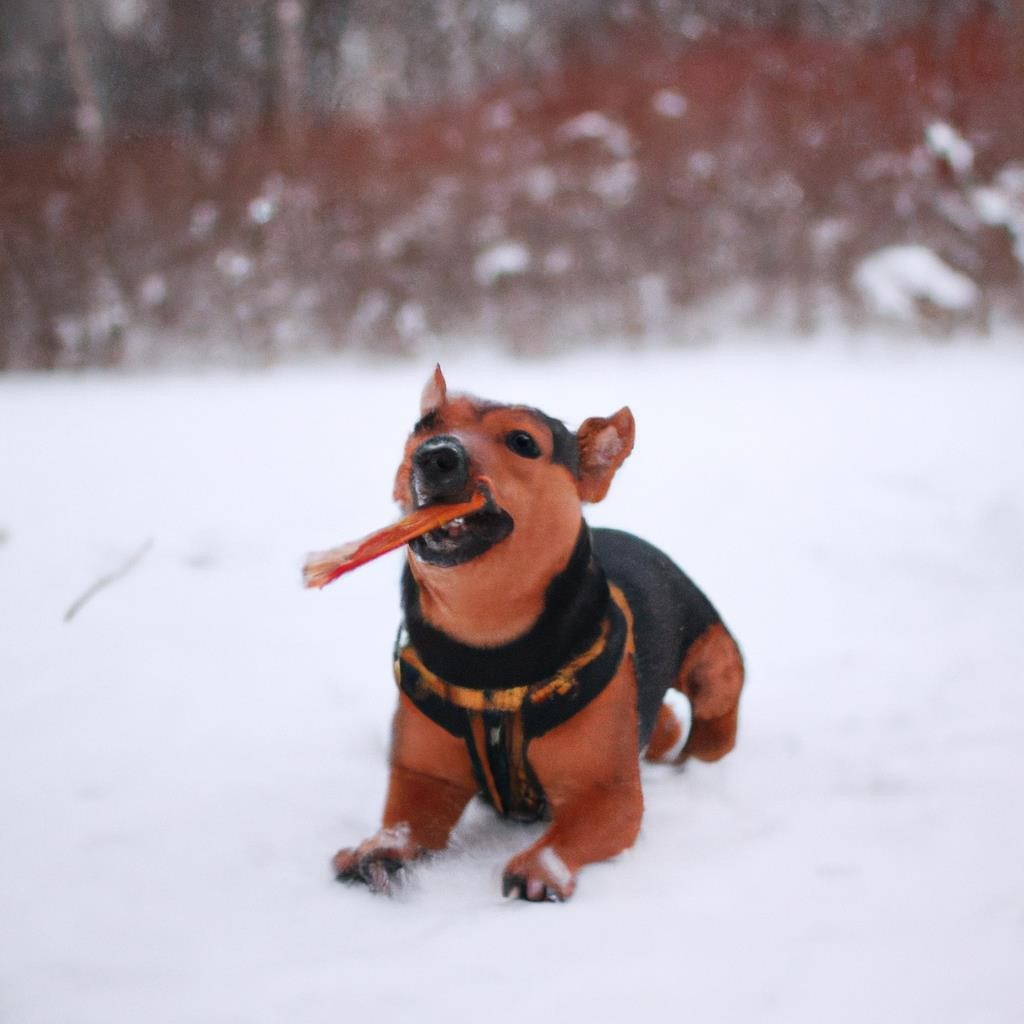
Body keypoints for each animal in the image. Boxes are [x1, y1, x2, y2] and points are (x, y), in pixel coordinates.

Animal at [335, 370, 745, 905]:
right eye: (424, 426)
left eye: (523, 442)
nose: (435, 454)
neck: (488, 647)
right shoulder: (425, 775)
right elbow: (408, 818)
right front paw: (379, 849)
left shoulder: (606, 791)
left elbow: (579, 828)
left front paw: (540, 869)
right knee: (666, 724)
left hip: (715, 662)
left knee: (712, 724)